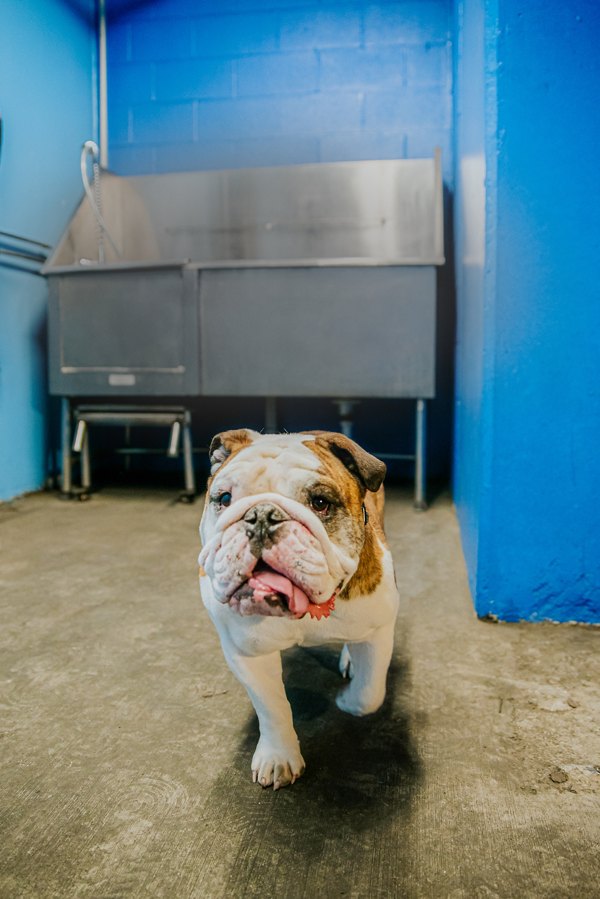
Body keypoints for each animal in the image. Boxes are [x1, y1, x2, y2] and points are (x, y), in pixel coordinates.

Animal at [199, 432, 400, 792]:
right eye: (224, 498)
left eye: (320, 502)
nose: (261, 516)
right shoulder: (247, 653)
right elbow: (272, 707)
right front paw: (278, 757)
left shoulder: (378, 632)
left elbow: (369, 694)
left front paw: (346, 701)